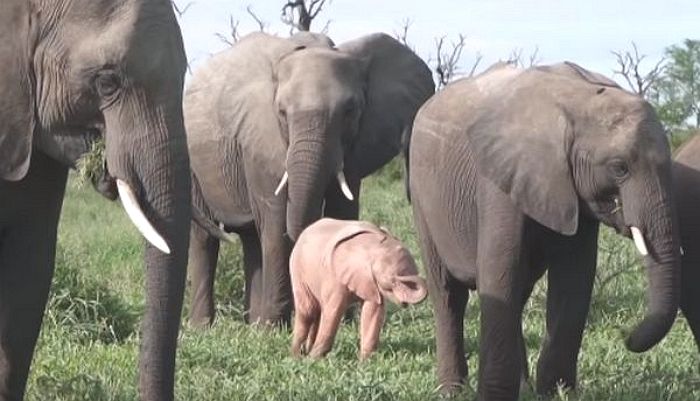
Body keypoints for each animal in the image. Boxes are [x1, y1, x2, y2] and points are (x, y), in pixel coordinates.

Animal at [183, 31, 432, 324]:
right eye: (281, 112)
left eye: (350, 111)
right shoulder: (261, 140)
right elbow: (277, 221)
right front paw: (274, 327)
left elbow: (342, 212)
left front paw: (344, 321)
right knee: (205, 240)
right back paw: (205, 326)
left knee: (251, 239)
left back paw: (252, 323)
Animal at [288, 217, 426, 358]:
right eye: (392, 282)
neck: (374, 246)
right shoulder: (334, 277)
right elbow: (333, 311)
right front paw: (314, 358)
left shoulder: (372, 283)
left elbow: (373, 312)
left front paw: (366, 360)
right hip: (297, 269)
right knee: (308, 310)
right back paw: (297, 356)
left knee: (317, 311)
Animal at [408, 61, 680, 398]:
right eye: (619, 168)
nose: (627, 337)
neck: (580, 98)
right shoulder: (498, 179)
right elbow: (500, 271)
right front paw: (497, 396)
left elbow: (574, 276)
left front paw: (555, 393)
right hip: (422, 196)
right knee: (449, 295)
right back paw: (451, 391)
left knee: (518, 294)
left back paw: (521, 385)